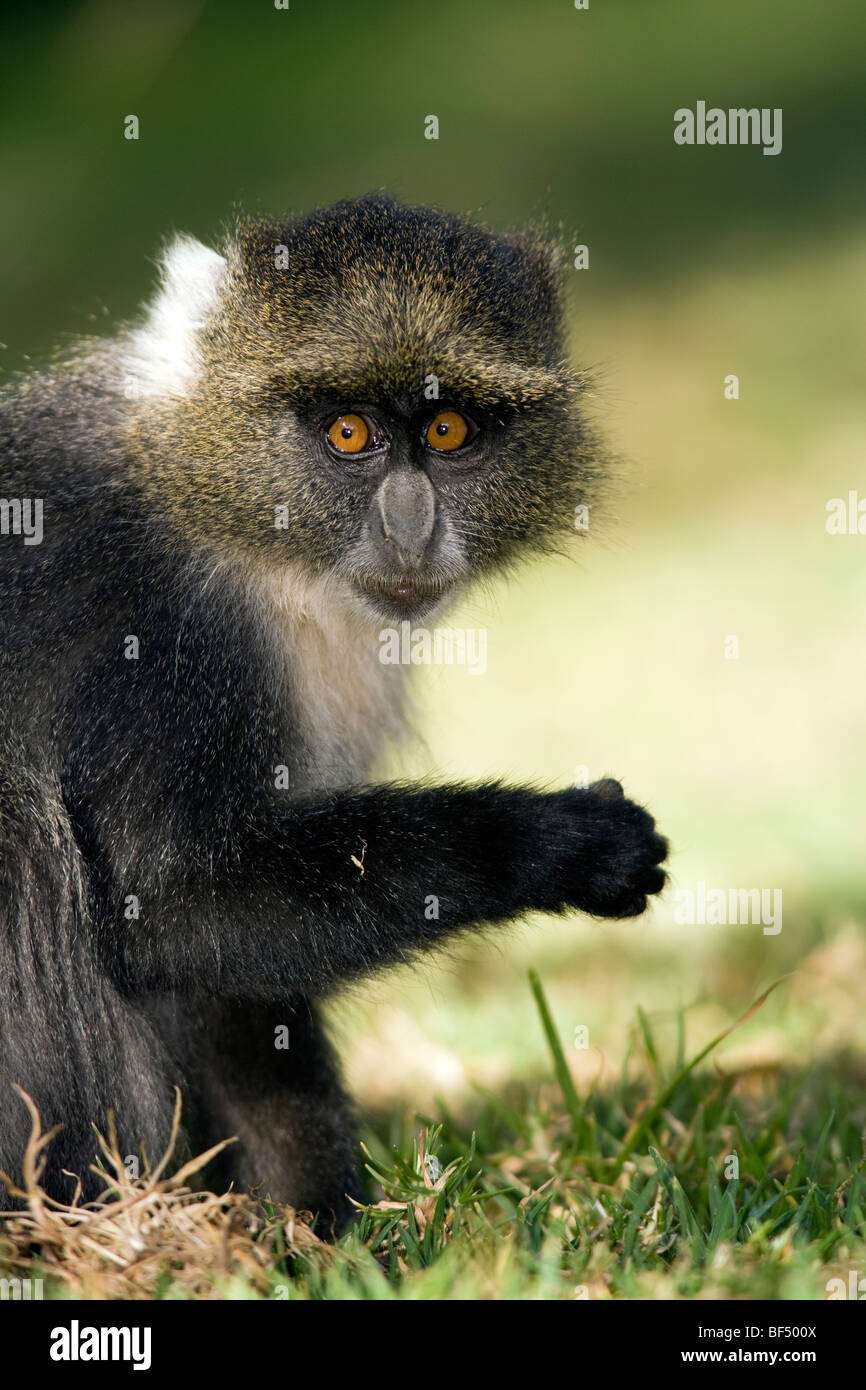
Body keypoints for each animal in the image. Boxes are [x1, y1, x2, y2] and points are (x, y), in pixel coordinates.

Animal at [0, 193, 670, 1228]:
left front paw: (312, 1232)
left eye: (448, 432)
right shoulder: (157, 645)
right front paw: (550, 840)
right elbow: (176, 905)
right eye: (349, 434)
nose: (410, 527)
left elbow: (227, 985)